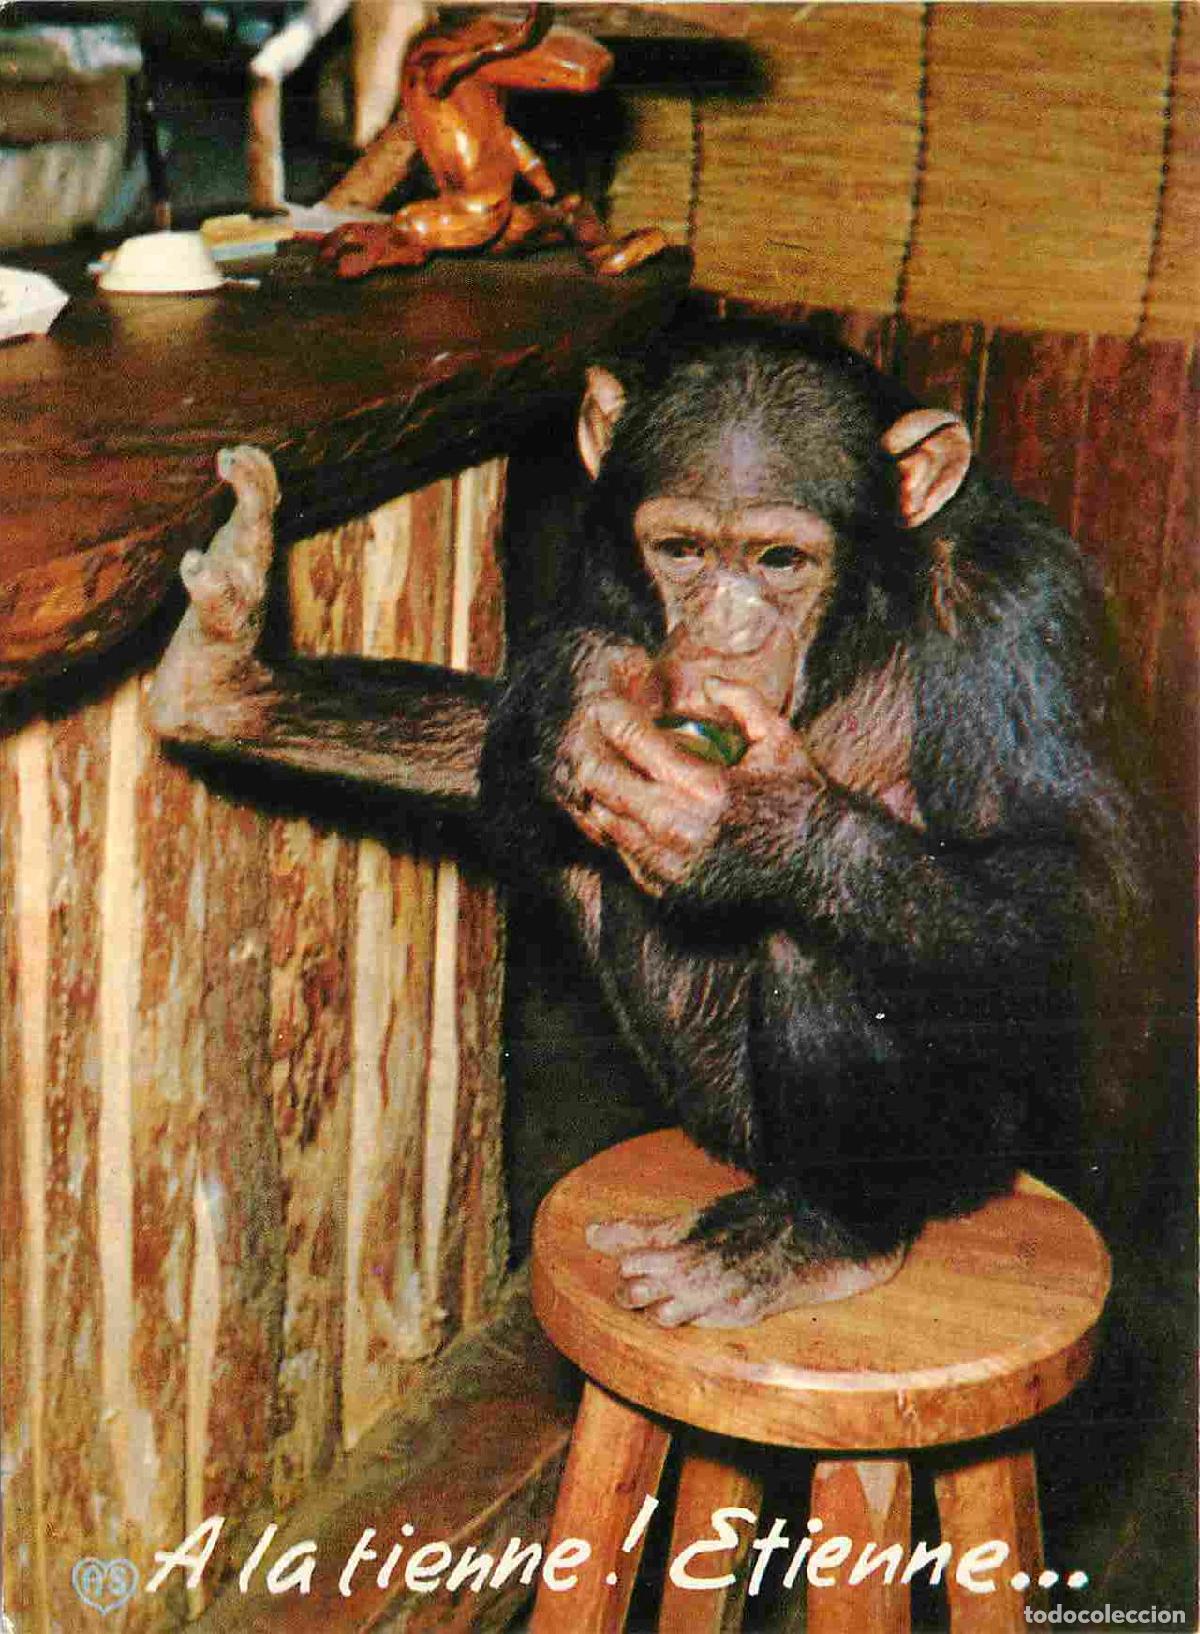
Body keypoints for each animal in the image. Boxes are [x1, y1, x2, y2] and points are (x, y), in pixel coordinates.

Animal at [151, 317, 1148, 1329]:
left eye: (781, 561)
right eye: (682, 551)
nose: (729, 632)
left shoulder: (1020, 607)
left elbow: (1084, 894)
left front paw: (756, 826)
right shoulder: (605, 563)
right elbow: (512, 739)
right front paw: (580, 687)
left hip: (968, 1156)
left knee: (817, 938)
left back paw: (819, 1235)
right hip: (713, 1109)